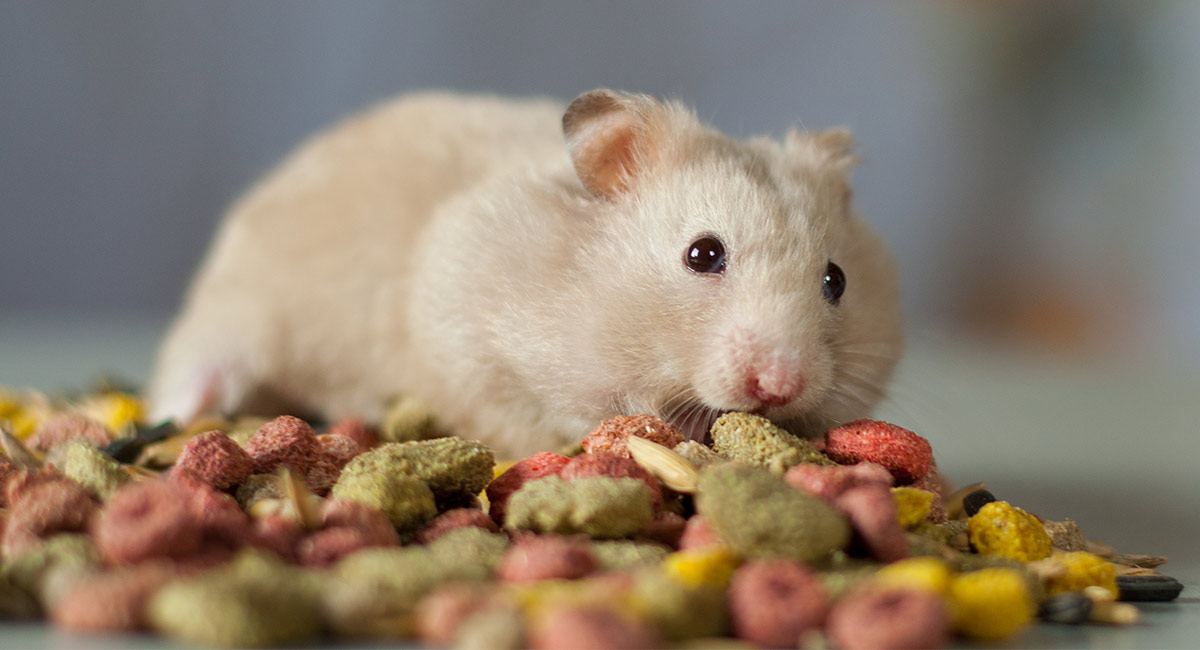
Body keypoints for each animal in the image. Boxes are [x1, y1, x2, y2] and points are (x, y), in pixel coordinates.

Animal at [148, 89, 903, 459]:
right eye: (703, 255)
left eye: (836, 281)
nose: (781, 384)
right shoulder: (474, 346)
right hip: (237, 304)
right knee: (197, 362)